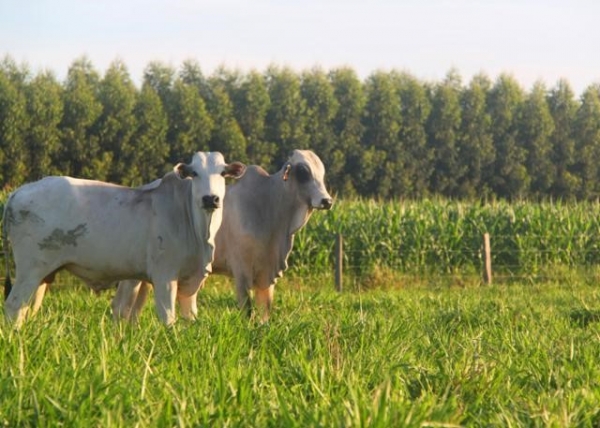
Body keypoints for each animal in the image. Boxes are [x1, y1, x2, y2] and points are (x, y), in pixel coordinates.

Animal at [2, 152, 245, 326]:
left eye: (223, 173)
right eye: (194, 173)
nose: (210, 198)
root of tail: (17, 193)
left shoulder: (188, 281)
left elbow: (187, 318)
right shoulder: (164, 276)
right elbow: (167, 318)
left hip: (43, 275)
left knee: (26, 308)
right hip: (30, 269)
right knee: (13, 306)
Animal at [110, 150, 330, 320]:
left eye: (322, 173)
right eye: (302, 172)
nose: (327, 201)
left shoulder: (267, 275)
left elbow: (265, 312)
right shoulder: (241, 270)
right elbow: (247, 310)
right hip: (131, 275)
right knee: (121, 307)